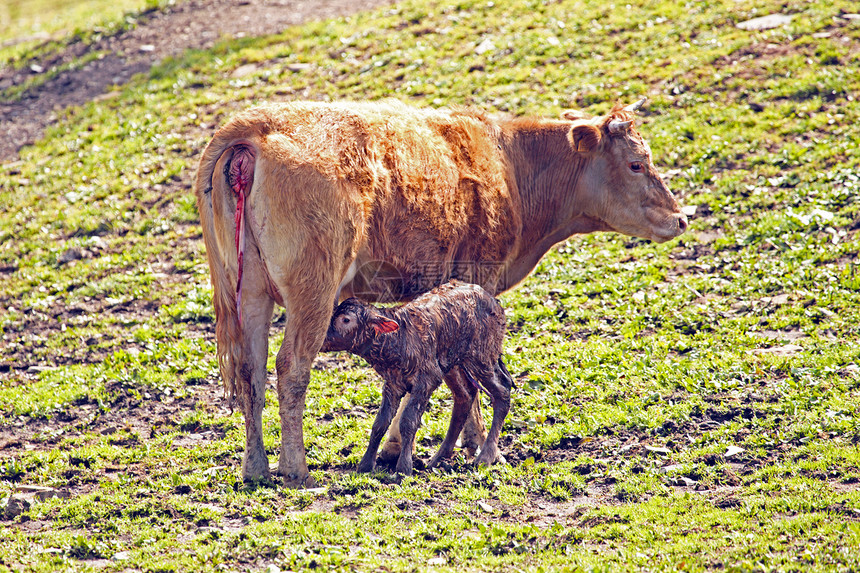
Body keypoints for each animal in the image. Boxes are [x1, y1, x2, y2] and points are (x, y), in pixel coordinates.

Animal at [320, 280, 510, 474]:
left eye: (346, 319)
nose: (322, 336)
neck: (399, 339)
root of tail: (492, 300)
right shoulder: (392, 384)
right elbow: (380, 422)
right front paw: (365, 464)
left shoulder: (426, 380)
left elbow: (408, 421)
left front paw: (404, 467)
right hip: (453, 364)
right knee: (465, 395)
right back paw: (439, 457)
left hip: (482, 357)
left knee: (502, 391)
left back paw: (485, 457)